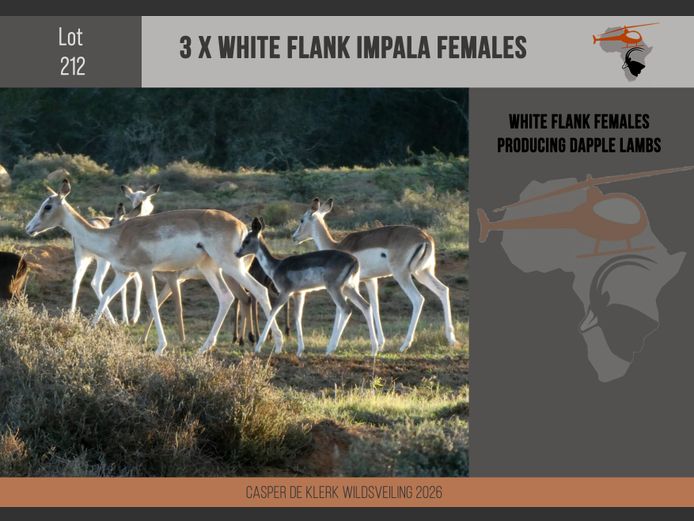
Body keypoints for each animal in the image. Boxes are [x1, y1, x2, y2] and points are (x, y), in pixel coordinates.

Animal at [70, 184, 159, 324]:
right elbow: (135, 284)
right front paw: (130, 318)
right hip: (102, 262)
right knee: (95, 283)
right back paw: (112, 321)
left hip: (81, 259)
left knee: (76, 280)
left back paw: (71, 316)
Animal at [236, 217, 379, 356]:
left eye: (246, 240)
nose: (237, 253)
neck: (275, 268)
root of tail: (355, 261)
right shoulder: (299, 293)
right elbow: (297, 317)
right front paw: (299, 350)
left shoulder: (285, 291)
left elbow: (272, 312)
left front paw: (260, 348)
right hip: (349, 288)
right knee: (366, 306)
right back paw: (374, 349)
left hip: (334, 287)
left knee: (346, 309)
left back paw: (330, 349)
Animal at [292, 198, 456, 352]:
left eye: (302, 219)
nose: (294, 237)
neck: (336, 246)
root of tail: (425, 238)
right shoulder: (370, 279)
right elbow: (375, 306)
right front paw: (380, 344)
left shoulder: (345, 285)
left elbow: (340, 309)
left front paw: (331, 346)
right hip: (422, 272)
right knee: (443, 290)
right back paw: (451, 339)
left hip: (402, 275)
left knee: (418, 299)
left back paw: (405, 345)